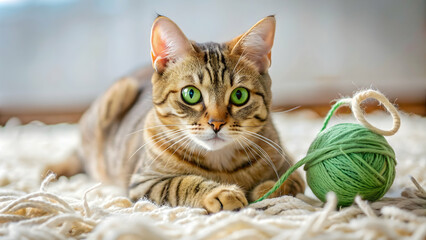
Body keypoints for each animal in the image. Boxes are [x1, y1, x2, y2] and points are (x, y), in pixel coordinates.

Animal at [46, 15, 304, 213]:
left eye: (239, 95)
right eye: (191, 94)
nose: (217, 123)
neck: (221, 165)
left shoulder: (289, 163)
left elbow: (291, 181)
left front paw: (267, 188)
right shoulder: (144, 182)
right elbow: (181, 183)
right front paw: (221, 193)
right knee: (80, 155)